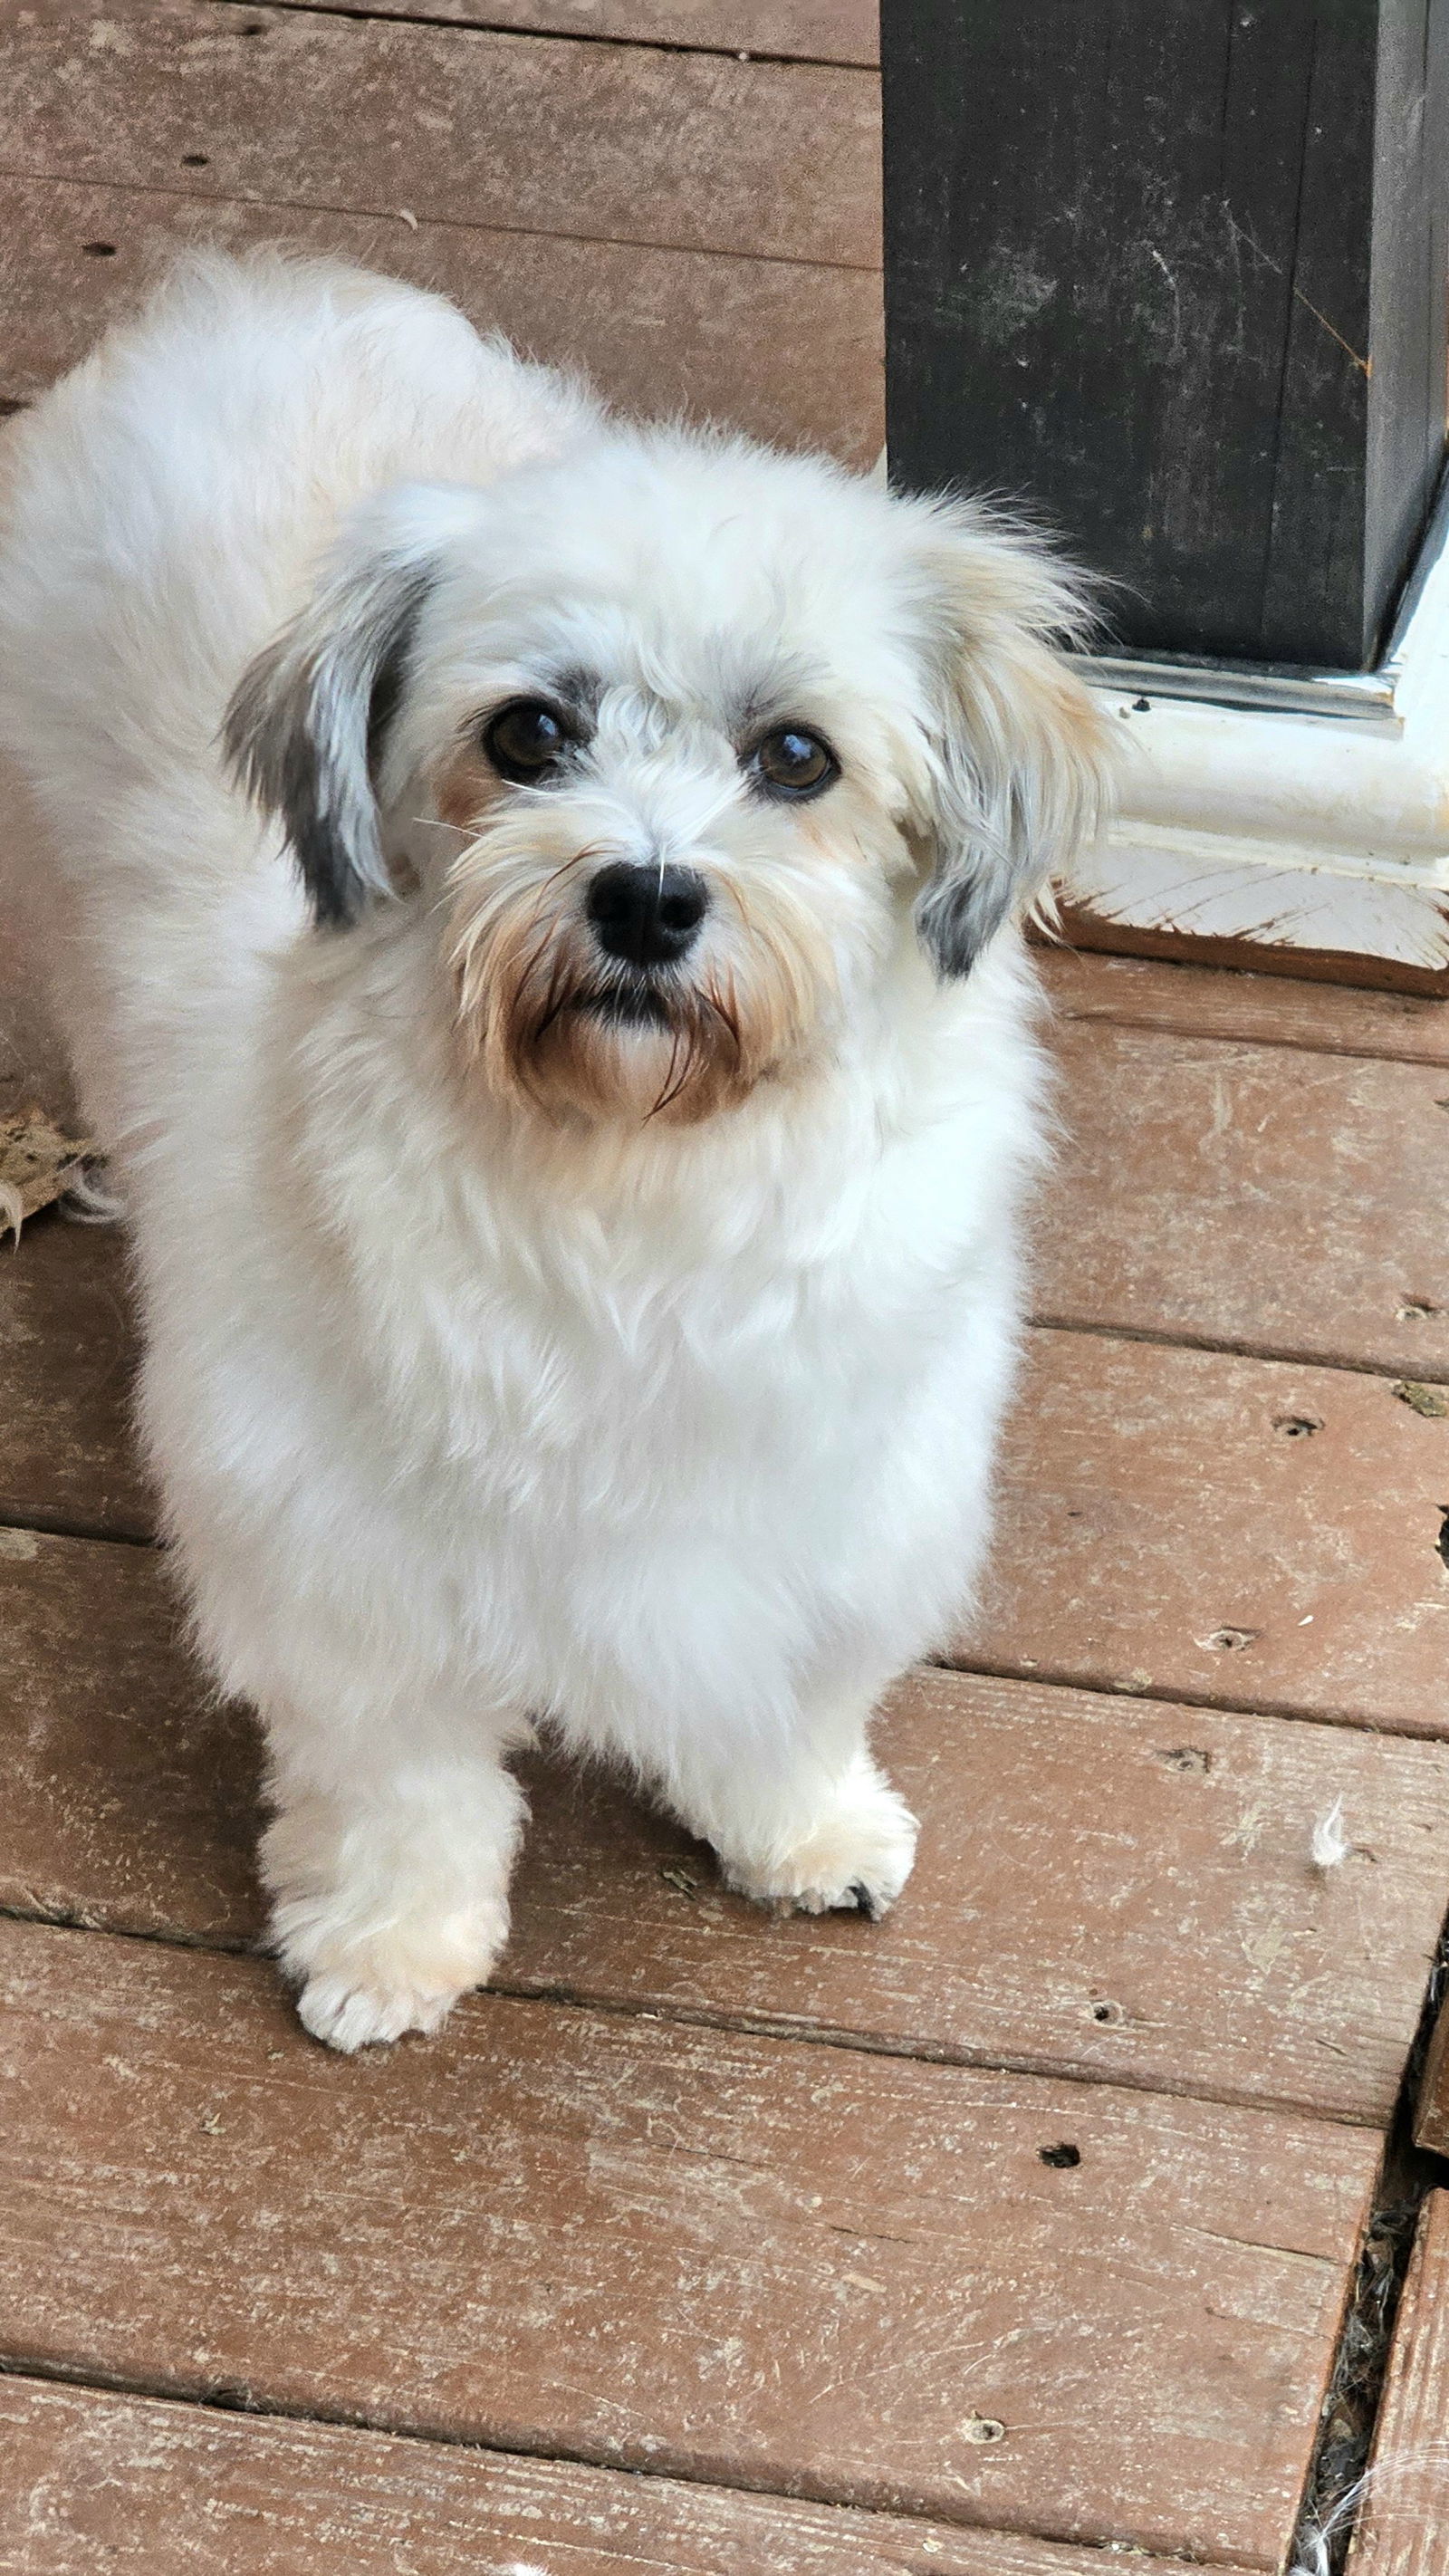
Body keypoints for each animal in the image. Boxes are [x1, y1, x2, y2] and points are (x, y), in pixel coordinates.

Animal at [0, 251, 1111, 2040]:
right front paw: (390, 1942)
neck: (628, 1178)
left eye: (795, 755)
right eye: (527, 735)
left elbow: (791, 1694)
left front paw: (806, 1829)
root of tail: (251, 291)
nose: (646, 897)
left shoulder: (835, 1500)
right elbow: (402, 1786)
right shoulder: (338, 1560)